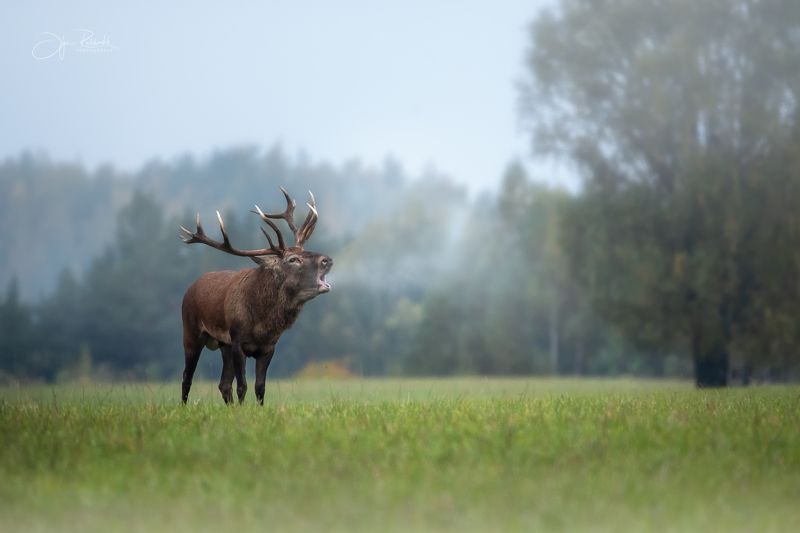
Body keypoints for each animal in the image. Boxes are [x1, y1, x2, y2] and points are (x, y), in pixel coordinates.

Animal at [179, 188, 332, 405]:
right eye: (293, 259)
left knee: (223, 384)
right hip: (191, 332)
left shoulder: (268, 347)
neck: (262, 324)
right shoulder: (237, 342)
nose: (327, 259)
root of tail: (190, 288)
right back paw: (184, 406)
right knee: (187, 377)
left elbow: (260, 387)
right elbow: (242, 386)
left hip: (223, 344)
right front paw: (243, 411)